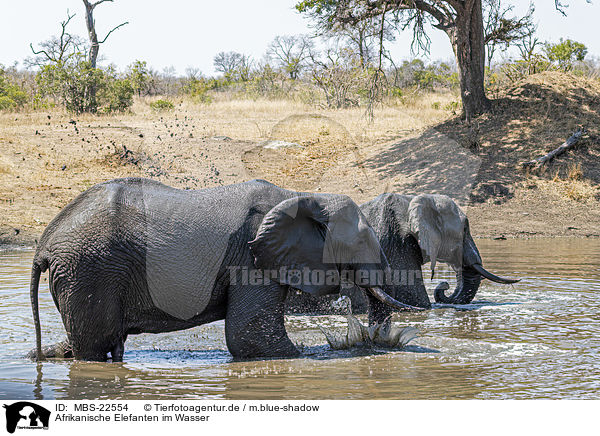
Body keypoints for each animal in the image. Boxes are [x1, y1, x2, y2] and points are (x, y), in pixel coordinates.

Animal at [29, 177, 422, 362]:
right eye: (362, 241)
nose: (373, 340)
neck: (302, 195)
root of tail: (44, 242)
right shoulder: (250, 257)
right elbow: (251, 338)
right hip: (89, 269)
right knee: (94, 347)